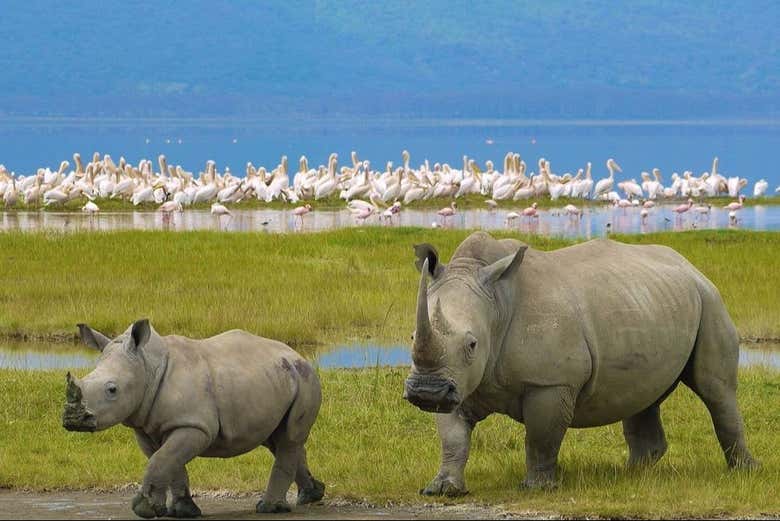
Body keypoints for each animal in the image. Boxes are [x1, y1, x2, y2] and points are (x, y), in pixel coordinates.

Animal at [62, 319, 324, 518]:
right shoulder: (149, 428)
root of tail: (297, 355)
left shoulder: (195, 425)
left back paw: (269, 508)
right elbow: (168, 462)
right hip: (277, 378)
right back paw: (311, 495)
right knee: (278, 439)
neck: (147, 366)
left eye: (112, 390)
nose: (72, 420)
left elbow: (161, 460)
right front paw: (180, 511)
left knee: (289, 438)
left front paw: (144, 509)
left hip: (305, 379)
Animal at [404, 231, 758, 496]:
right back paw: (630, 474)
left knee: (716, 391)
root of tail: (690, 265)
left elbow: (541, 437)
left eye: (472, 344)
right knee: (644, 394)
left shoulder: (550, 382)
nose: (426, 392)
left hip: (710, 301)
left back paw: (744, 471)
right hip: (650, 302)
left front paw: (537, 488)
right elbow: (453, 436)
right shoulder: (458, 381)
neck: (496, 305)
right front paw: (442, 489)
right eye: (411, 336)